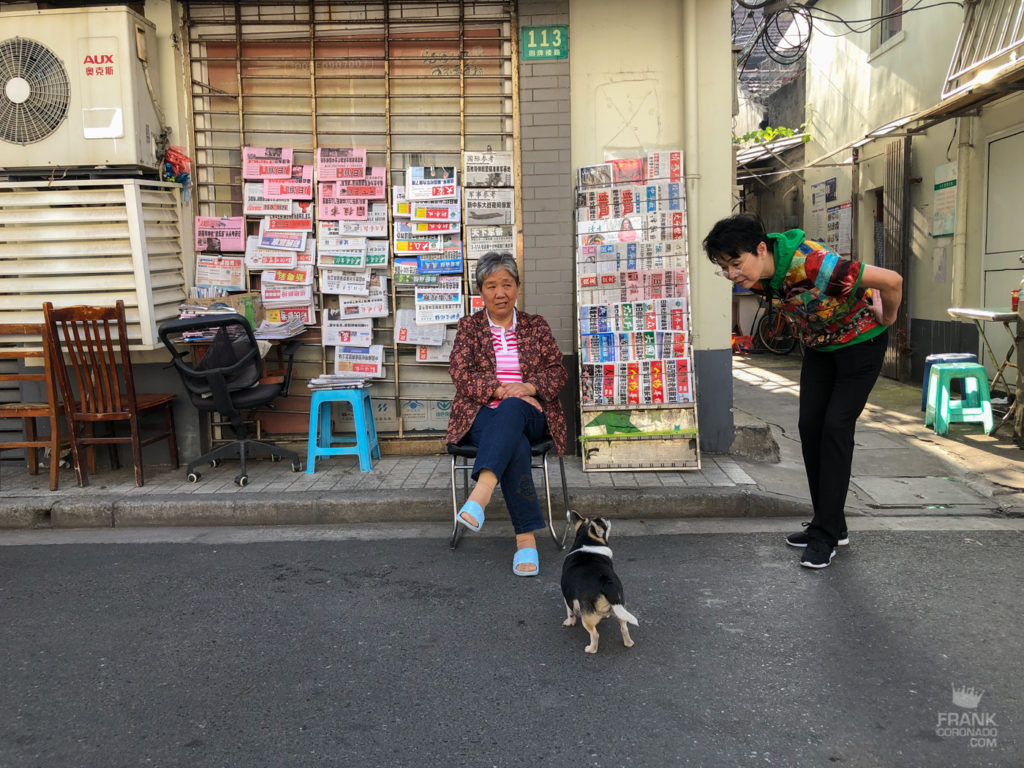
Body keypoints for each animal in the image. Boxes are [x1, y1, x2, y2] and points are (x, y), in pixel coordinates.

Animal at [565, 514, 634, 651]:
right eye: (603, 522)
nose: (606, 517)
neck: (585, 542)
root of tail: (606, 582)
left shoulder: (567, 598)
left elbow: (570, 612)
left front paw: (569, 622)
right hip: (621, 608)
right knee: (624, 627)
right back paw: (628, 643)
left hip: (587, 618)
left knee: (595, 634)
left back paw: (591, 649)